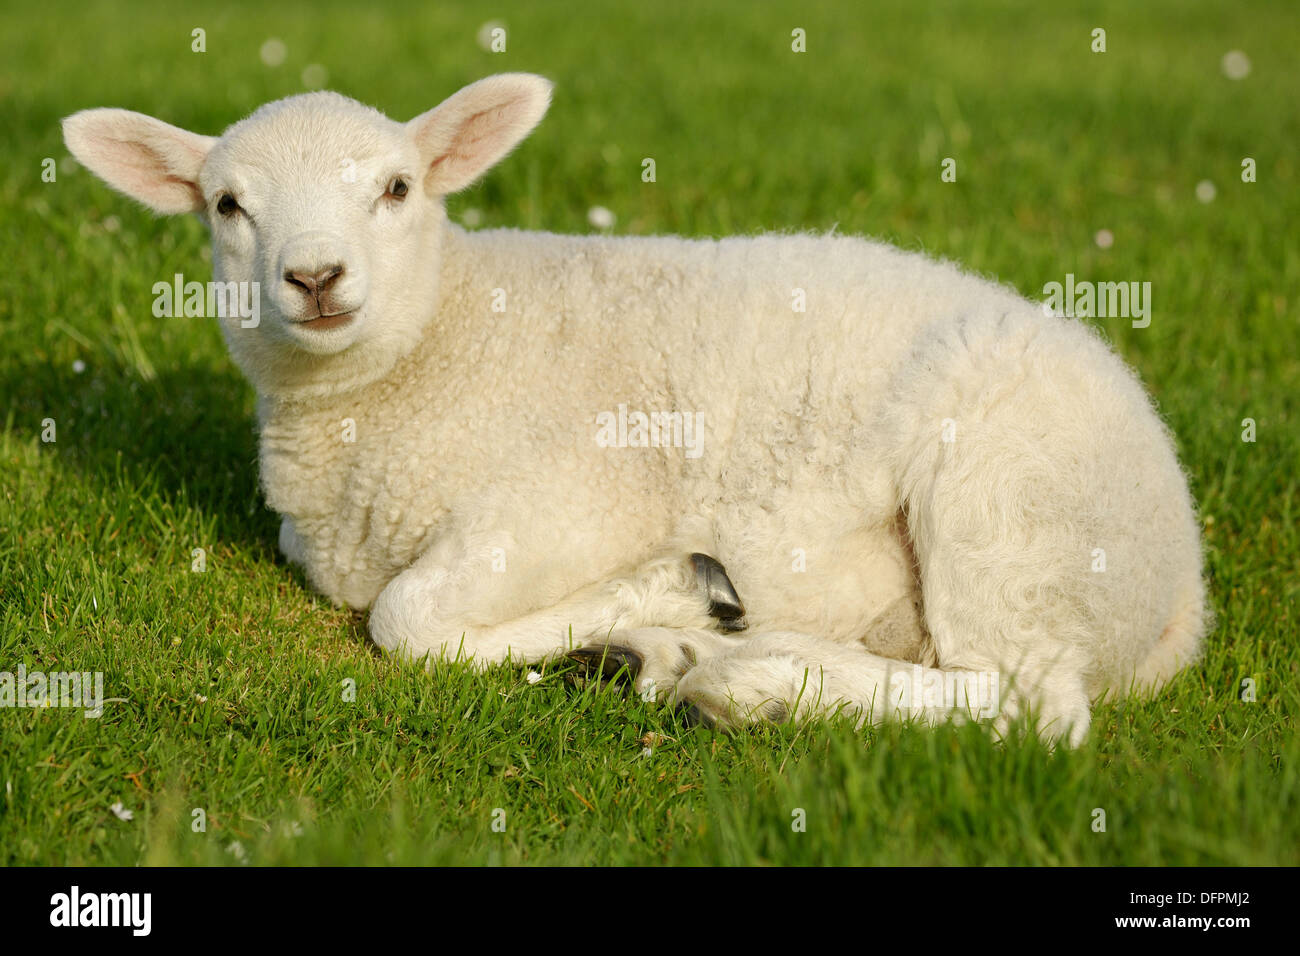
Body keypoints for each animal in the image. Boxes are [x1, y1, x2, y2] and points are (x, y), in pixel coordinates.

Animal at [63, 74, 1206, 749]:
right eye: (226, 205)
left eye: (395, 188)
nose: (314, 277)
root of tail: (1179, 596)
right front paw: (647, 630)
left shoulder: (570, 499)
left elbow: (408, 620)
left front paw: (674, 597)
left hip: (1013, 507)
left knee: (1032, 701)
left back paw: (756, 679)